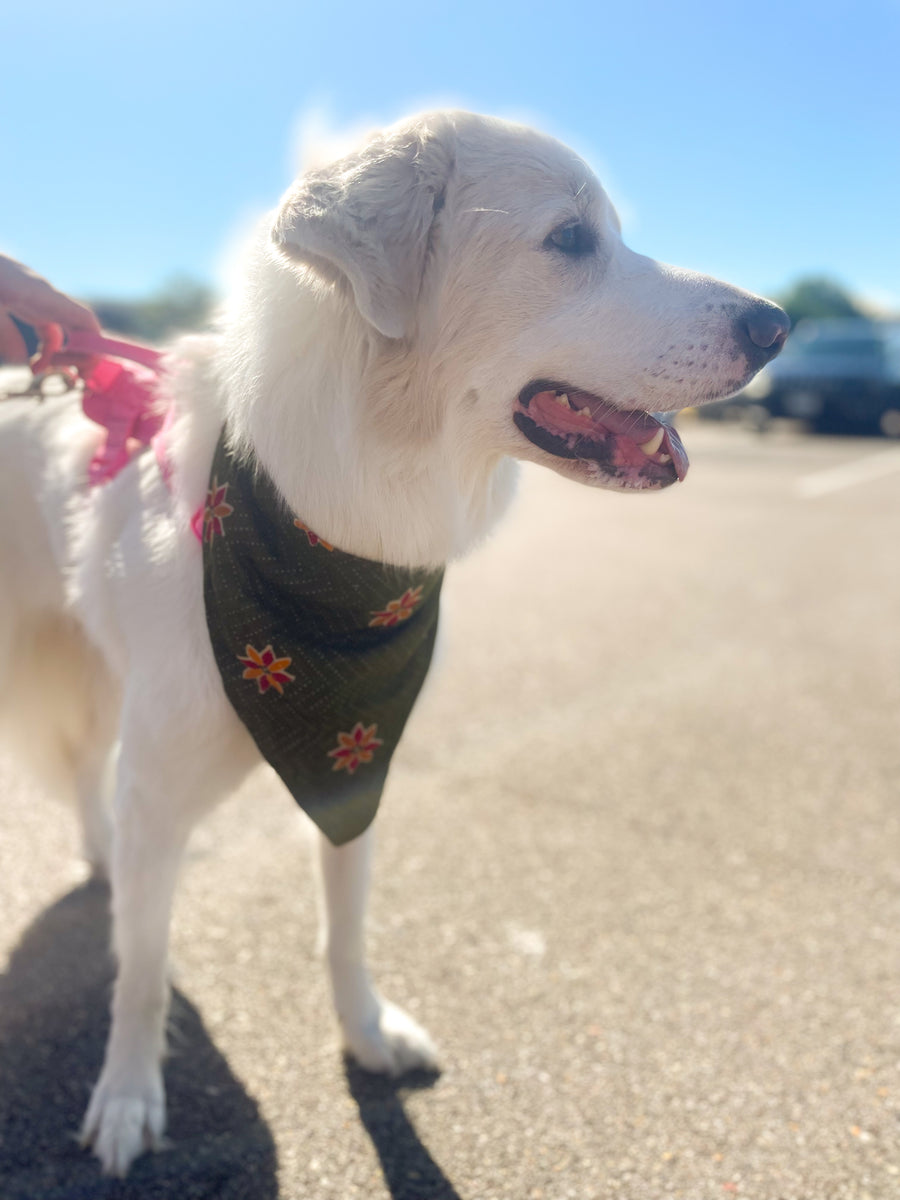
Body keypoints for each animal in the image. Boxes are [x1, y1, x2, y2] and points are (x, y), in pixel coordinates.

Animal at [0, 108, 787, 1176]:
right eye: (570, 239)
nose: (778, 325)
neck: (331, 554)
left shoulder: (351, 763)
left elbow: (344, 930)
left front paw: (366, 1036)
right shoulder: (165, 778)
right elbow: (145, 972)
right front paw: (127, 1094)